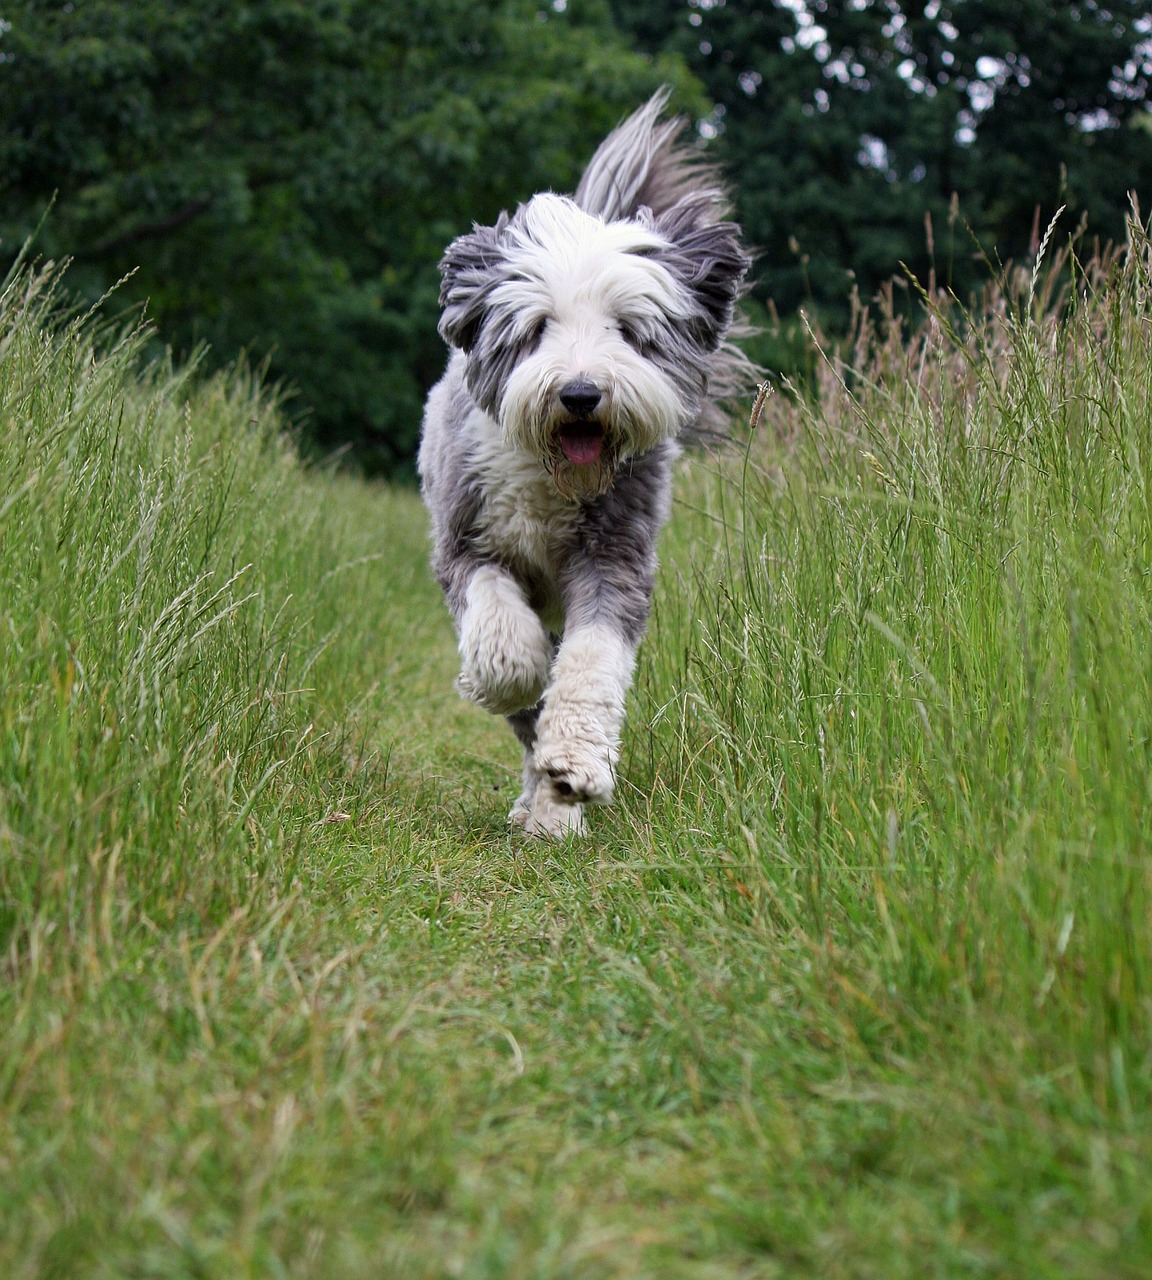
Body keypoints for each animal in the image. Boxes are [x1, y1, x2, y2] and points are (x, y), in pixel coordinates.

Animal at [417, 85, 752, 834]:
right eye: (538, 327)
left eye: (628, 331)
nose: (579, 394)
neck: (552, 477)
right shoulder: (466, 538)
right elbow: (504, 638)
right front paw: (504, 674)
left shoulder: (615, 555)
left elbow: (591, 662)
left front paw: (571, 770)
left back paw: (550, 809)